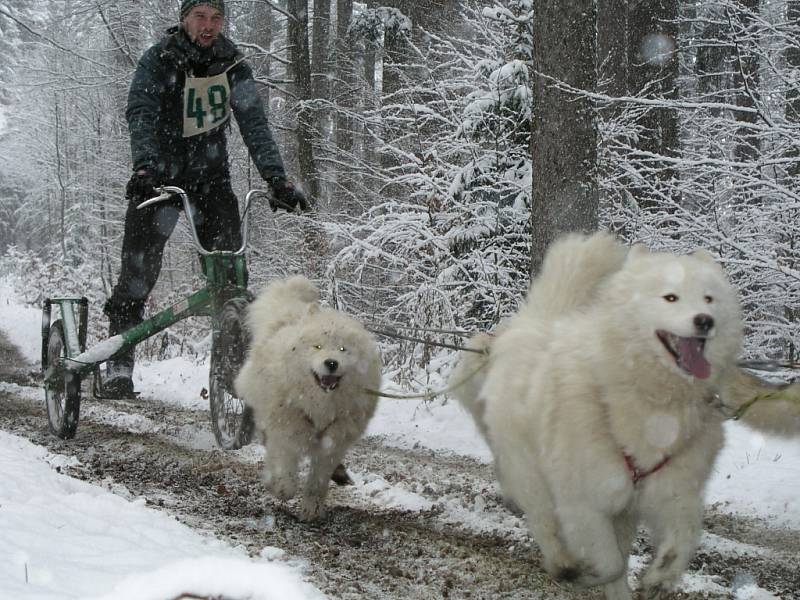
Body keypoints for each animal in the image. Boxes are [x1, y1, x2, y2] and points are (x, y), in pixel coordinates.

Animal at [234, 276, 382, 520]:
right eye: (317, 347)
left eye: (343, 349)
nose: (331, 363)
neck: (321, 405)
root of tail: (292, 314)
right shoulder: (287, 432)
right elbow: (284, 471)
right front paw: (279, 487)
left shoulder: (334, 440)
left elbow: (318, 481)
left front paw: (312, 509)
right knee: (266, 438)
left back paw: (340, 473)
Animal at [454, 233, 796, 600]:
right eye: (670, 297)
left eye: (709, 298)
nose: (706, 320)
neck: (652, 401)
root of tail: (542, 316)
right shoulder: (585, 501)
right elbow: (610, 563)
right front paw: (585, 572)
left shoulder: (675, 491)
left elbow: (683, 539)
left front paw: (659, 578)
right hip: (531, 472)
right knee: (542, 519)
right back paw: (562, 562)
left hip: (624, 512)